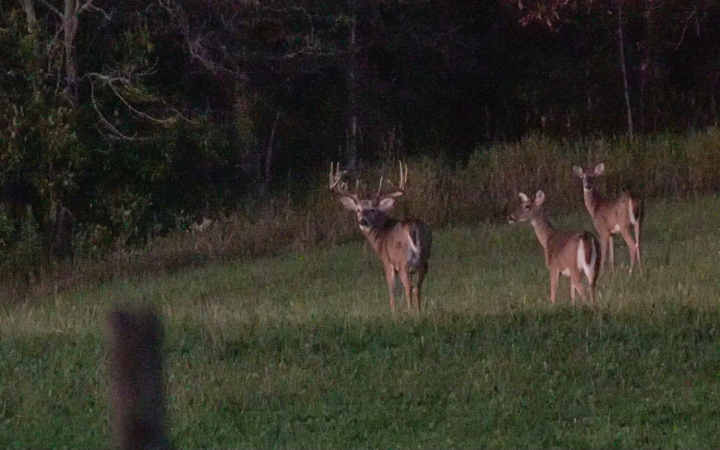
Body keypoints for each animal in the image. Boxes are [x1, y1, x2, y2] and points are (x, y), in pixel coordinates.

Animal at [330, 162, 430, 312]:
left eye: (372, 210)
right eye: (358, 210)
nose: (362, 221)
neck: (381, 237)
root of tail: (412, 227)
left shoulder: (387, 262)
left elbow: (392, 294)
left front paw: (393, 313)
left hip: (403, 262)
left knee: (408, 287)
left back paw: (409, 312)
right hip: (424, 260)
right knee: (417, 288)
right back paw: (418, 312)